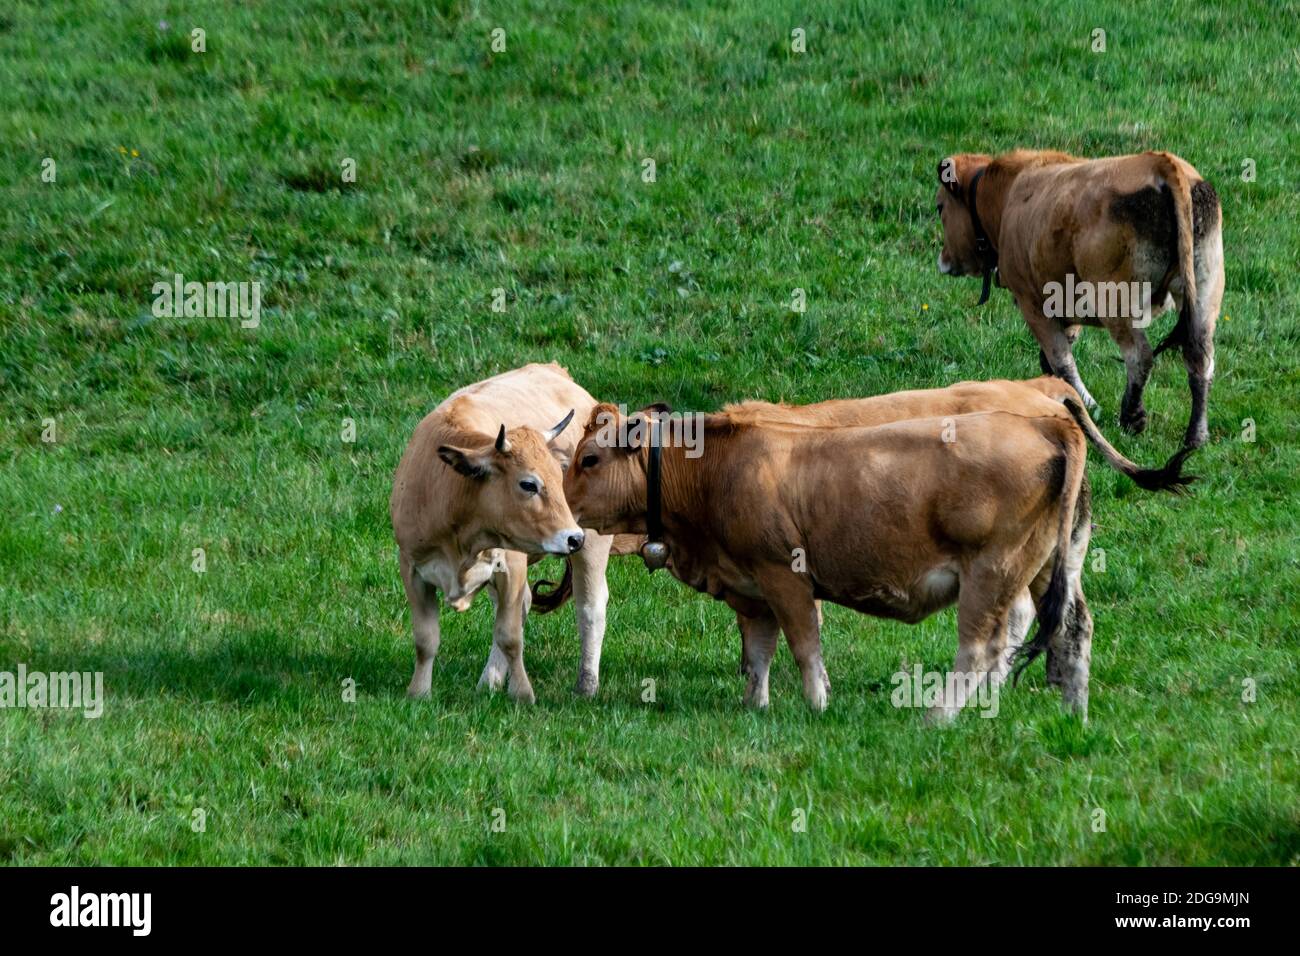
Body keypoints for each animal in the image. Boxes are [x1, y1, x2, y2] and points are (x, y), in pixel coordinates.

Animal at [390, 363, 625, 703]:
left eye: (559, 477)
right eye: (528, 484)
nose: (572, 537)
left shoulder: (511, 566)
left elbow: (510, 636)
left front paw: (523, 694)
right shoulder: (411, 567)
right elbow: (425, 639)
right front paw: (419, 693)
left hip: (593, 542)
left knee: (590, 608)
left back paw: (586, 685)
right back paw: (489, 680)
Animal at [538, 376, 1192, 692]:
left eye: (588, 459)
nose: (565, 516)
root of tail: (1047, 399)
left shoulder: (786, 573)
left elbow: (806, 646)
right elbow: (759, 651)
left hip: (1003, 566)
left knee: (1008, 629)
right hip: (1056, 560)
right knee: (1068, 625)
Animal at [935, 149, 1223, 450]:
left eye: (940, 207)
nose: (943, 260)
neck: (1008, 194)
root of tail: (1159, 161)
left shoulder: (1031, 302)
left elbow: (1061, 359)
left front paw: (1088, 405)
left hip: (1114, 299)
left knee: (1139, 355)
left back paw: (1132, 417)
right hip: (1205, 293)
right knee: (1200, 357)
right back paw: (1196, 436)